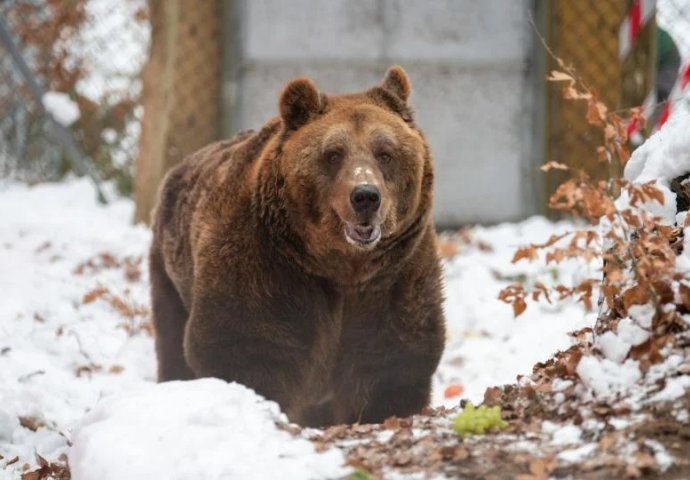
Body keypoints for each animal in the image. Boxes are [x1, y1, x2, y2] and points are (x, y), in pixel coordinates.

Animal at [148, 64, 444, 428]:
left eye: (385, 153)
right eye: (333, 154)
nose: (365, 196)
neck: (341, 266)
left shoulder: (395, 272)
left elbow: (391, 356)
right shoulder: (265, 266)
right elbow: (245, 346)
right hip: (170, 274)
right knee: (172, 342)